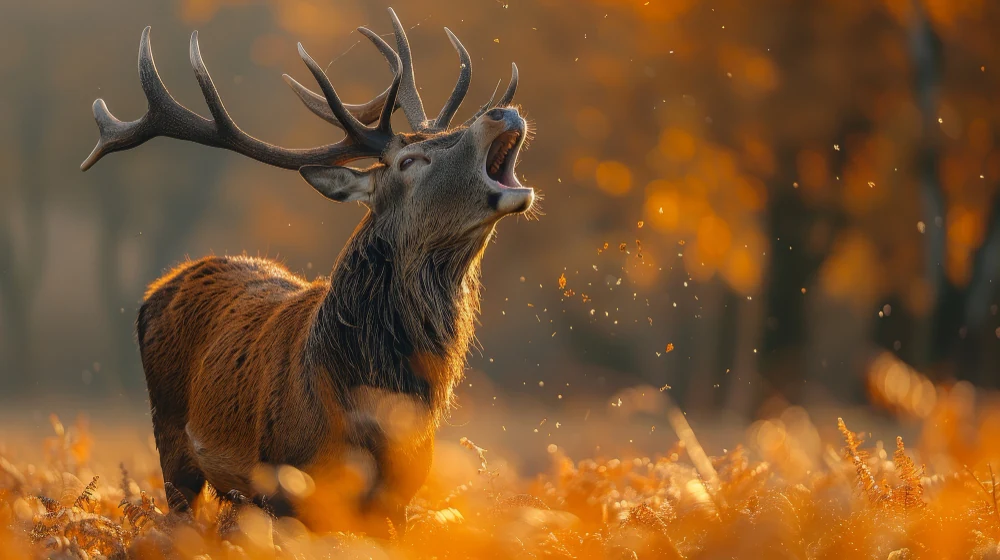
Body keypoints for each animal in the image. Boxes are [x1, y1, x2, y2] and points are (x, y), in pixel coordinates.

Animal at [80, 9, 535, 535]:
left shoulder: (400, 497)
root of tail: (161, 285)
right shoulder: (283, 487)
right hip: (171, 442)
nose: (500, 113)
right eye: (409, 160)